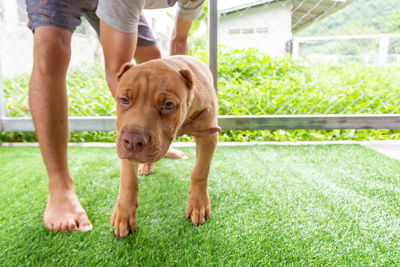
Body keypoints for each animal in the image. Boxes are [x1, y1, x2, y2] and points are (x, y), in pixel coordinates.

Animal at [111, 55, 219, 239]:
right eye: (124, 100)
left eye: (168, 105)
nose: (133, 141)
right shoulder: (124, 141)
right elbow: (128, 179)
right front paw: (123, 213)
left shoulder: (209, 134)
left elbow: (200, 172)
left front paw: (198, 204)